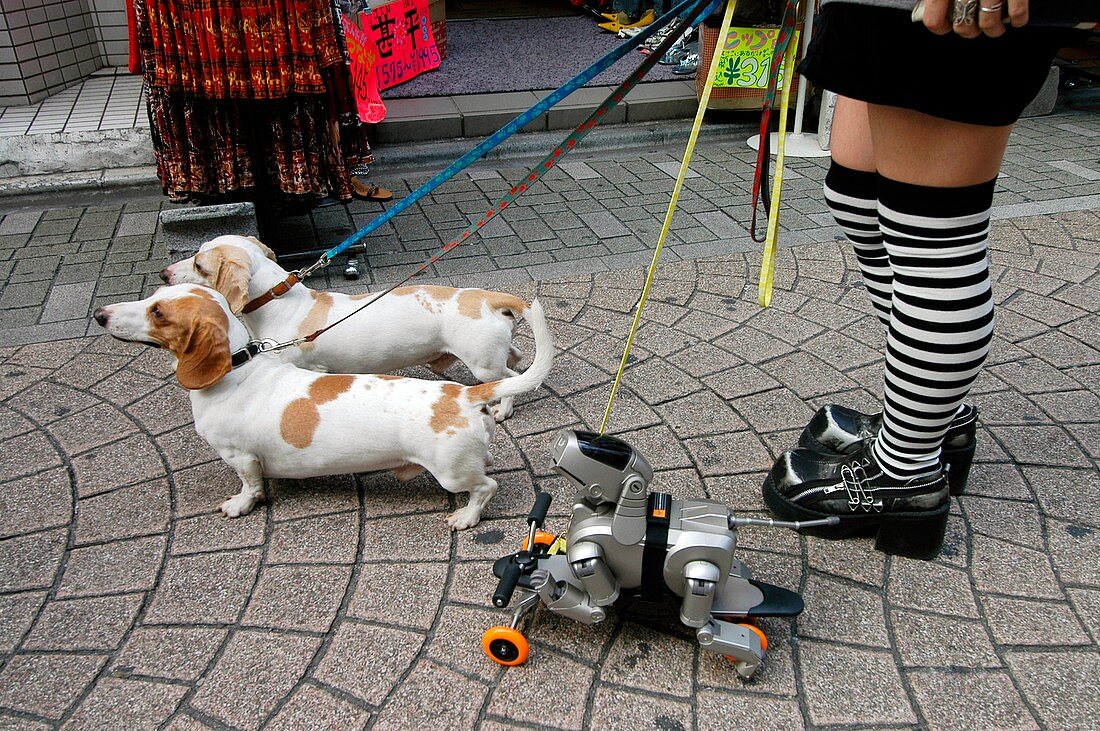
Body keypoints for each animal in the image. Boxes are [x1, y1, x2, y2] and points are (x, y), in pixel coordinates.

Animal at [486, 428, 836, 677]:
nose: (517, 564)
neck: (616, 513)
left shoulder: (588, 556)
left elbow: (597, 604)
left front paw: (508, 639)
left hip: (700, 573)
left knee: (704, 624)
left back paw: (745, 658)